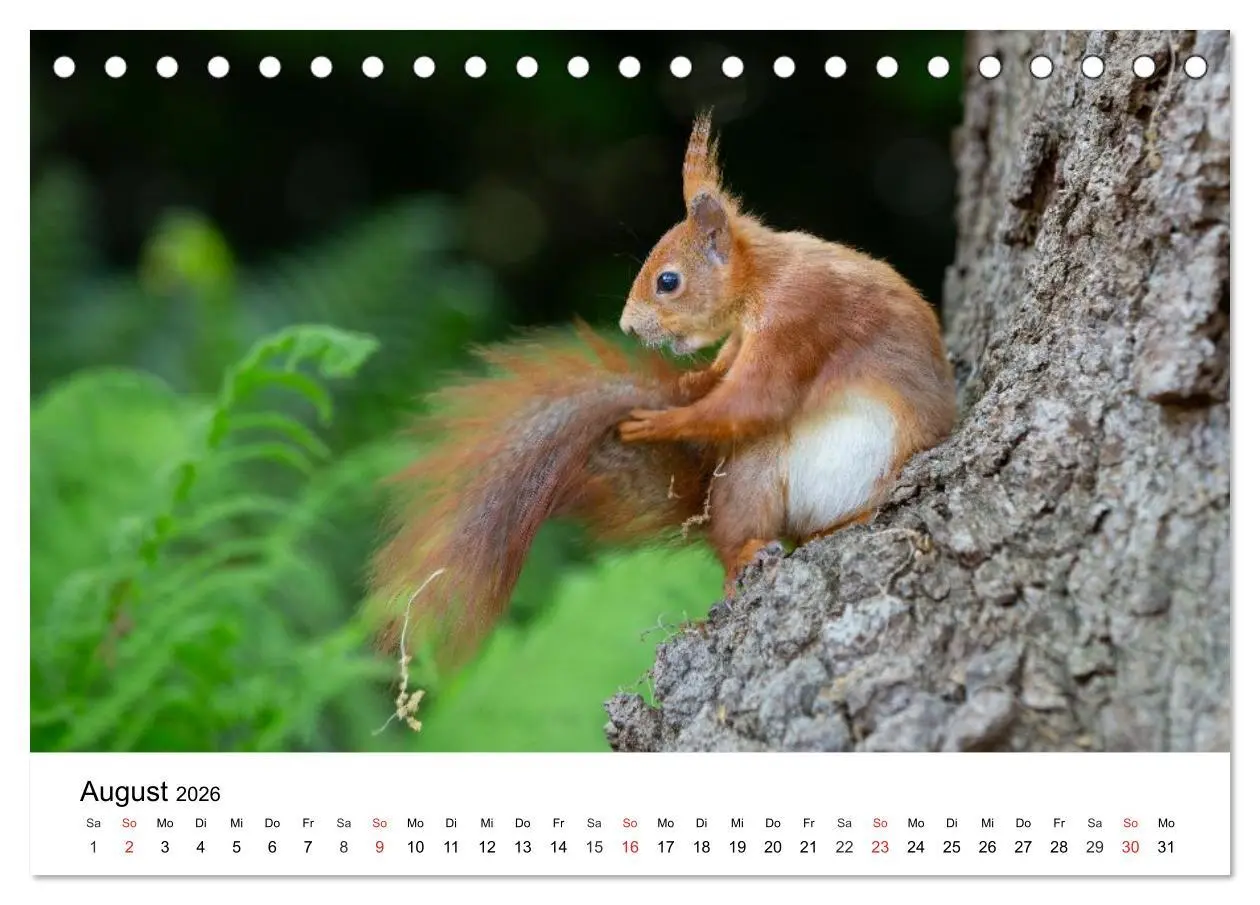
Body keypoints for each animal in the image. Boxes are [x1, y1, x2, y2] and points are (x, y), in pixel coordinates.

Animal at [368, 112, 955, 669]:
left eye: (667, 281)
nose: (628, 326)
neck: (764, 276)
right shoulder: (749, 333)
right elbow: (730, 366)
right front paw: (695, 380)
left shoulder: (801, 316)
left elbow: (756, 397)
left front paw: (661, 422)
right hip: (755, 480)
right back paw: (744, 554)